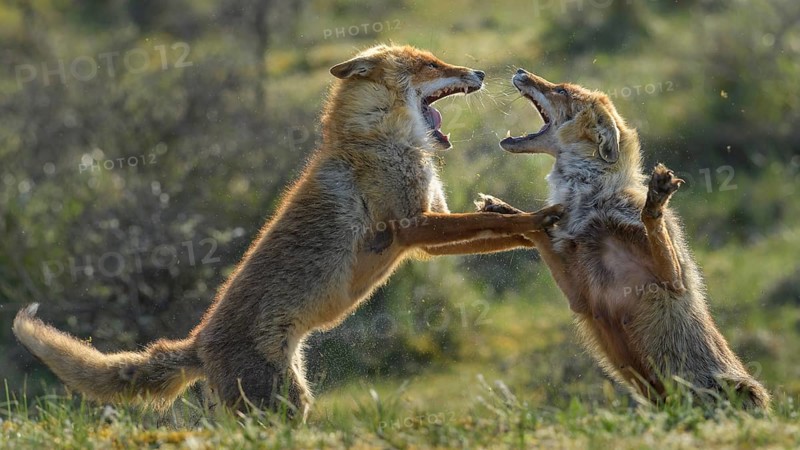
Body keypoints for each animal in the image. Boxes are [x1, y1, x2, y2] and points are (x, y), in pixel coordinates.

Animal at [12, 46, 562, 418]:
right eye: (430, 65)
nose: (480, 72)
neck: (380, 143)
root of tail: (197, 342)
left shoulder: (426, 233)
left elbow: (495, 226)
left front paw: (534, 226)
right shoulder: (412, 229)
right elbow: (495, 223)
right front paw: (537, 219)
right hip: (284, 407)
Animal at [478, 69, 769, 409]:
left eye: (561, 90)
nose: (521, 71)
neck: (593, 201)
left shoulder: (672, 280)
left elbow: (652, 226)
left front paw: (655, 202)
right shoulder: (580, 298)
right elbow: (537, 231)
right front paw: (505, 212)